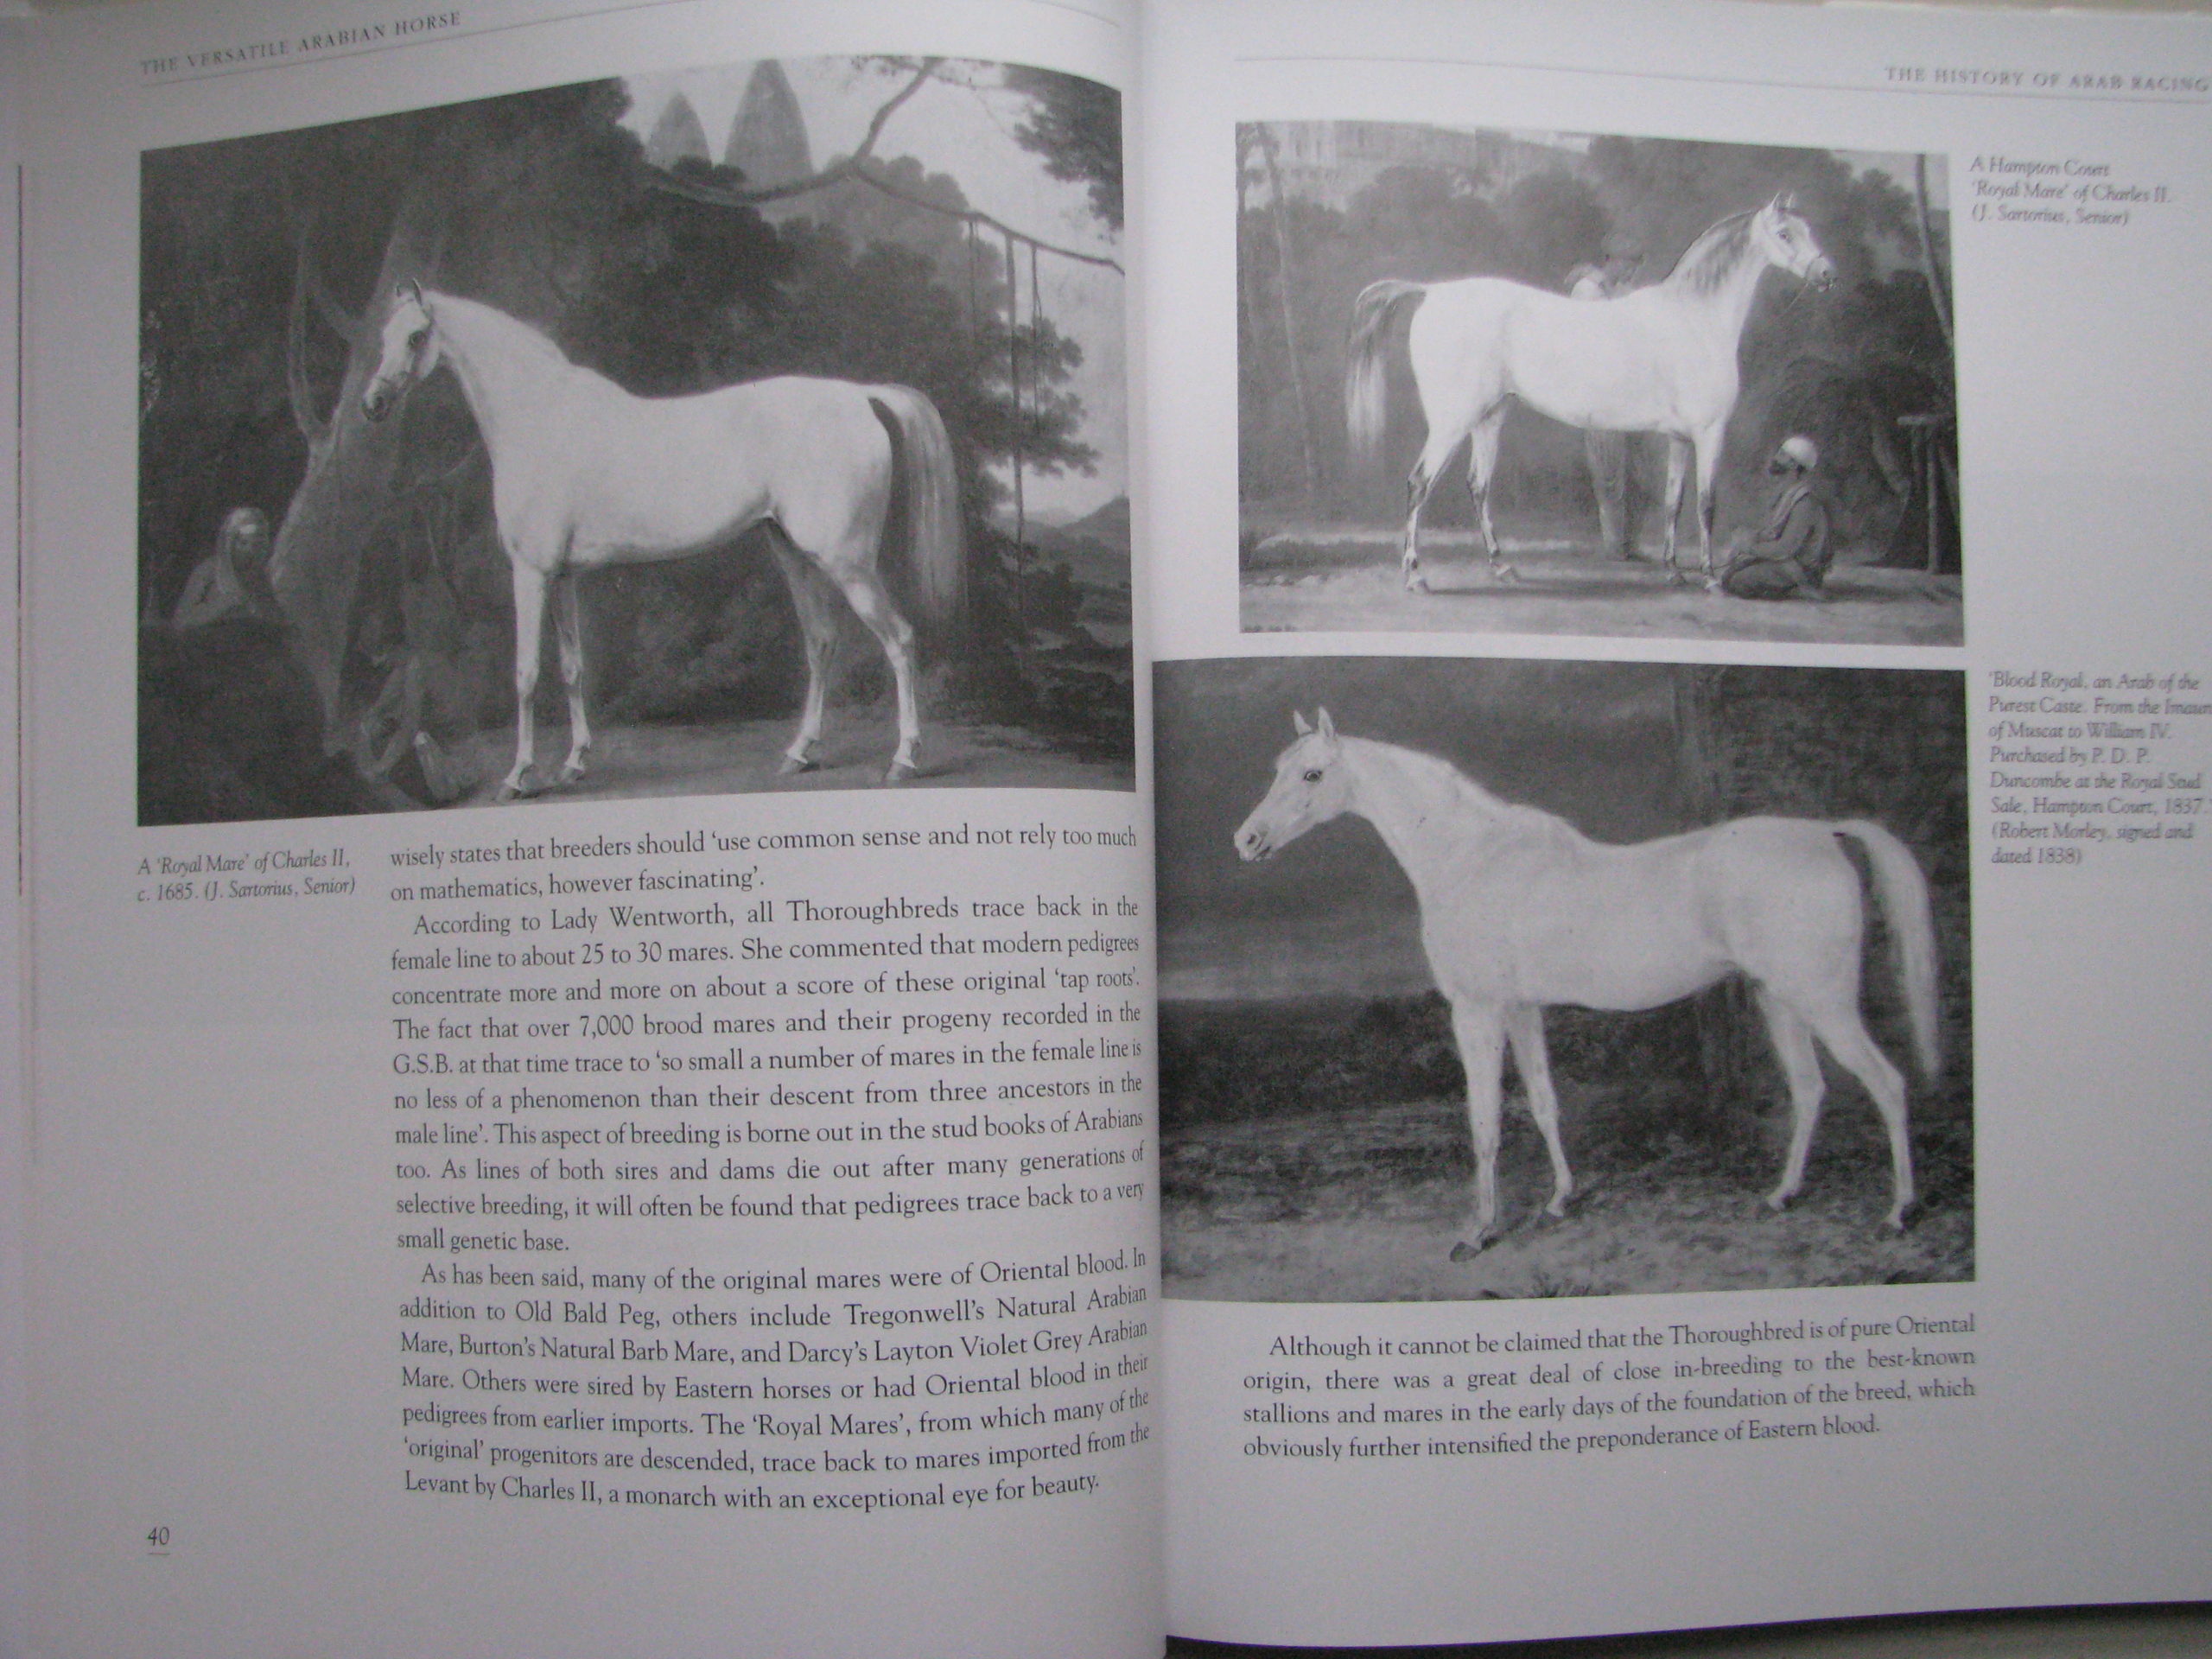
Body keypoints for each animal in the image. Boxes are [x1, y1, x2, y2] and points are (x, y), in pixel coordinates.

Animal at [361, 282, 964, 799]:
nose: (373, 405)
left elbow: (527, 674)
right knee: (821, 642)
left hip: (847, 562)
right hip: (794, 554)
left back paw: (903, 760)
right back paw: (799, 753)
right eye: (384, 336)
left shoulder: (530, 574)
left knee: (899, 640)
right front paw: (574, 764)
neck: (541, 419)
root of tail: (859, 396)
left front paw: (518, 776)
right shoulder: (562, 577)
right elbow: (572, 667)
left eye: (415, 337)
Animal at [1232, 710, 1937, 1257]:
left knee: (1887, 1084)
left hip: (1822, 1000)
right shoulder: (1522, 1010)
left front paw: (1478, 1233)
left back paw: (1898, 1213)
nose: (1248, 840)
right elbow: (1544, 1103)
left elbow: (1484, 1120)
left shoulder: (1477, 1011)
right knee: (1810, 1089)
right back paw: (1782, 1196)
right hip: (1779, 998)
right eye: (1276, 769)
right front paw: (1559, 1202)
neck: (1471, 859)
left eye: (1312, 775)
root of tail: (1822, 833)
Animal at [1346, 194, 1835, 591]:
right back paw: (1415, 576)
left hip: (1490, 416)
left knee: (1478, 485)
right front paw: (1712, 578)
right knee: (1419, 484)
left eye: (1809, 229)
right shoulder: (1709, 432)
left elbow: (1674, 503)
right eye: (1785, 233)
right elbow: (1706, 504)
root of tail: (1432, 291)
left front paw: (1674, 571)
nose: (1827, 274)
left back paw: (1501, 567)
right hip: (1453, 420)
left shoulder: (1679, 438)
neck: (1694, 319)